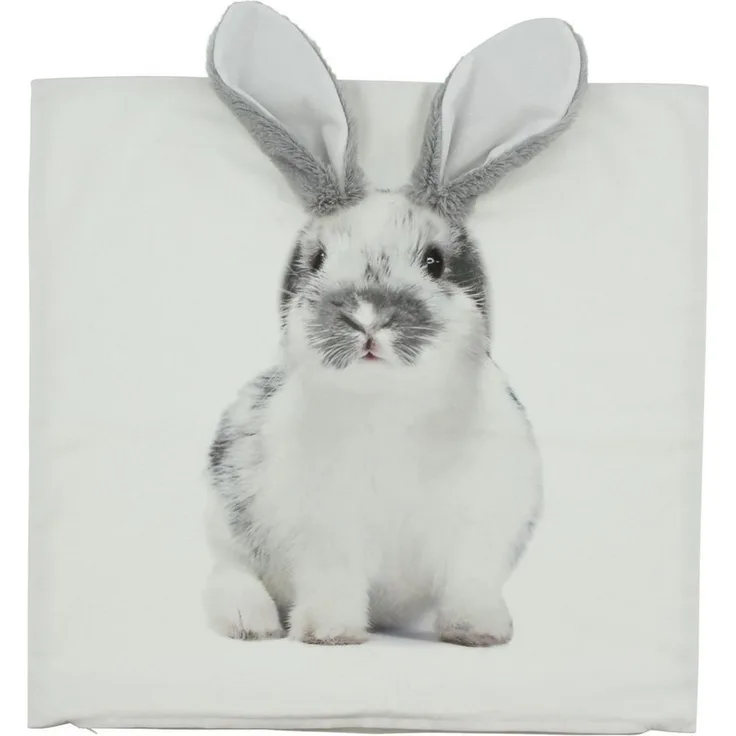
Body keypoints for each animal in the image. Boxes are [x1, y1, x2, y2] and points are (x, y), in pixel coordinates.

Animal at [202, 1, 587, 646]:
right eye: (317, 260)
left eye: (435, 262)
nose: (367, 316)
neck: (390, 409)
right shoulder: (325, 538)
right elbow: (332, 585)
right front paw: (330, 635)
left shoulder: (480, 535)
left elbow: (470, 587)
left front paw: (480, 634)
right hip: (225, 531)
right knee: (228, 576)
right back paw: (250, 622)